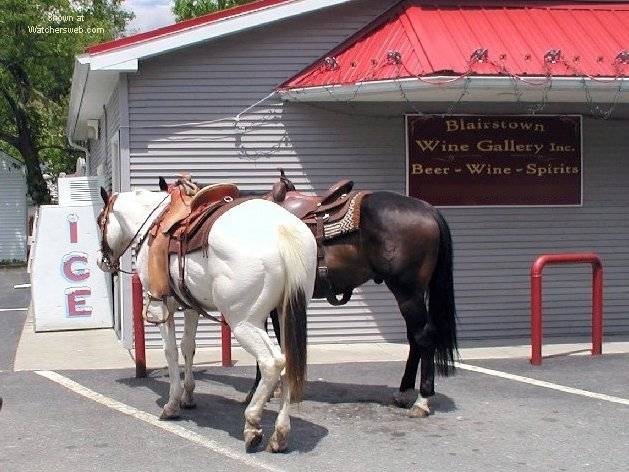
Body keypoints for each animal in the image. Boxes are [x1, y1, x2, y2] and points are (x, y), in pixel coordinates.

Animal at [95, 184, 316, 454]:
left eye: (100, 221)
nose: (101, 261)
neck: (151, 223)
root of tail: (282, 230)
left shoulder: (162, 306)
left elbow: (170, 352)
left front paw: (172, 404)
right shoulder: (191, 307)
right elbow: (188, 347)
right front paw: (188, 396)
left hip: (244, 322)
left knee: (272, 362)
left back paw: (253, 423)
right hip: (286, 314)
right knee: (289, 364)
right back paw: (280, 434)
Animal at [247, 176, 456, 416]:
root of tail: (427, 208)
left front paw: (258, 391)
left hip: (408, 292)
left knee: (424, 337)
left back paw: (422, 400)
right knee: (414, 339)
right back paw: (404, 393)